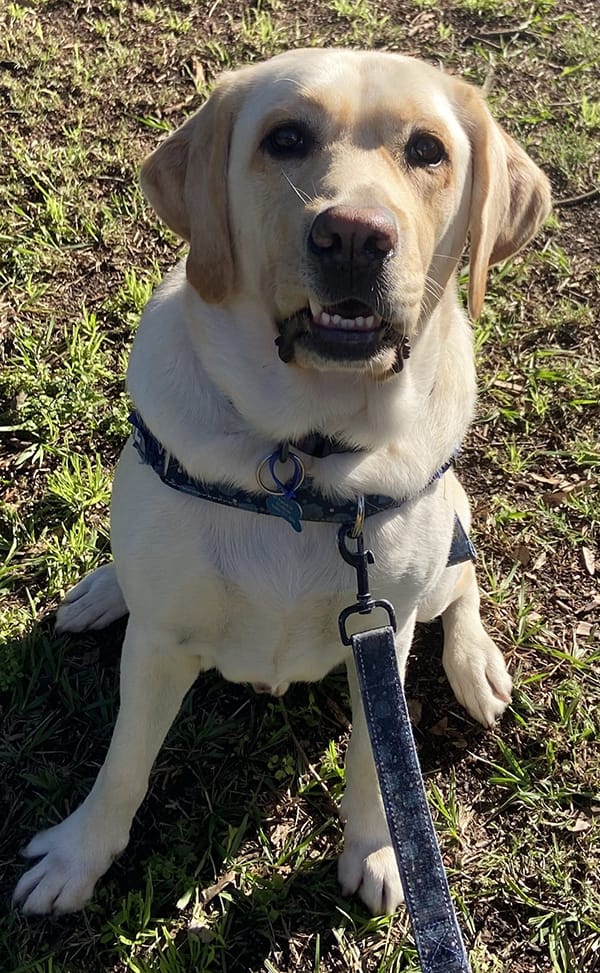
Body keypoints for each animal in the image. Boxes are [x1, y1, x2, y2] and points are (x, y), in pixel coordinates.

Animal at [12, 49, 548, 916]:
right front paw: (75, 858)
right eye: (285, 138)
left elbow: (375, 761)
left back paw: (476, 665)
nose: (354, 236)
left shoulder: (384, 632)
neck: (304, 452)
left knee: (463, 582)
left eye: (427, 150)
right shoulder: (158, 645)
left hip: (439, 560)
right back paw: (104, 589)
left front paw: (379, 850)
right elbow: (125, 762)